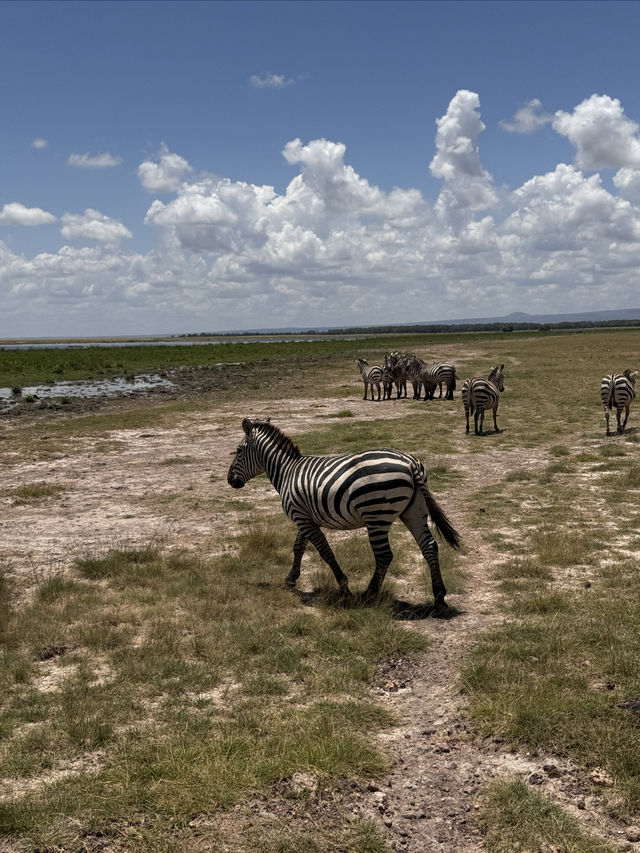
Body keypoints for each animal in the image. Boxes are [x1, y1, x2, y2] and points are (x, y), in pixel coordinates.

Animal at [229, 418, 460, 604]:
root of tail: (410, 462)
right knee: (429, 546)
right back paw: (439, 596)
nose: (230, 480)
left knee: (384, 555)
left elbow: (324, 551)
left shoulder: (301, 517)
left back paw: (369, 595)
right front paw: (291, 579)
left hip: (377, 515)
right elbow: (298, 548)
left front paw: (344, 587)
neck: (288, 471)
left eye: (238, 451)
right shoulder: (304, 516)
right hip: (414, 511)